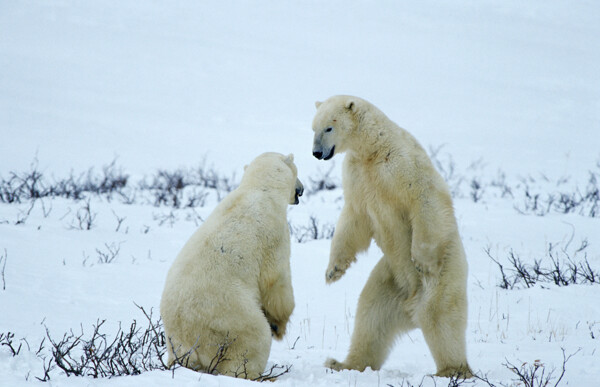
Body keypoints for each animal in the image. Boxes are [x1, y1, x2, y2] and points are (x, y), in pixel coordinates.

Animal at [161, 153, 304, 380]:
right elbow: (276, 280)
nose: (302, 189)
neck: (260, 189)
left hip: (175, 340)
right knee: (253, 340)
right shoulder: (275, 232)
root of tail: (189, 340)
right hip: (230, 317)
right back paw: (260, 375)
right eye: (298, 172)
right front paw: (279, 326)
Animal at [314, 96, 474, 378]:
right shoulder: (357, 175)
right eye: (313, 128)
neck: (373, 149)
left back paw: (452, 370)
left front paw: (422, 260)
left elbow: (425, 198)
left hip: (445, 273)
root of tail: (410, 308)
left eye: (328, 128)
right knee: (370, 316)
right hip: (389, 280)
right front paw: (333, 270)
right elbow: (353, 218)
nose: (316, 153)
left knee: (439, 316)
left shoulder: (403, 164)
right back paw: (343, 364)